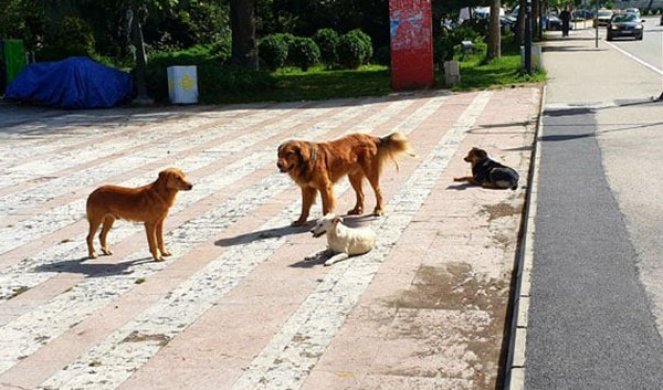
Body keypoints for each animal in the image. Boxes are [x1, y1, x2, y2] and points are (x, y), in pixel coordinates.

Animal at [276, 133, 416, 227]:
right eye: (279, 154)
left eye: (289, 153)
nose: (278, 164)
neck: (307, 162)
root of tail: (372, 138)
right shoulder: (306, 189)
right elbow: (304, 207)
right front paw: (300, 221)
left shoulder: (325, 187)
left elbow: (326, 207)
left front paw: (325, 220)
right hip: (353, 177)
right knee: (361, 194)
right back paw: (357, 210)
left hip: (371, 174)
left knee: (378, 192)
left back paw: (379, 209)